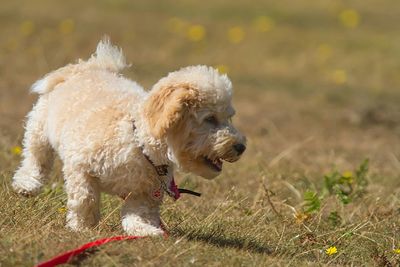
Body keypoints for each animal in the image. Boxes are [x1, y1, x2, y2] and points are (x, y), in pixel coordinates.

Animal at [10, 38, 245, 237]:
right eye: (210, 118)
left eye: (229, 117)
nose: (240, 146)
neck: (139, 144)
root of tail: (88, 68)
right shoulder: (80, 166)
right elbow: (85, 198)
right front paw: (82, 227)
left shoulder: (145, 193)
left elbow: (138, 214)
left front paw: (146, 230)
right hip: (39, 128)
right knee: (36, 158)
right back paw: (27, 184)